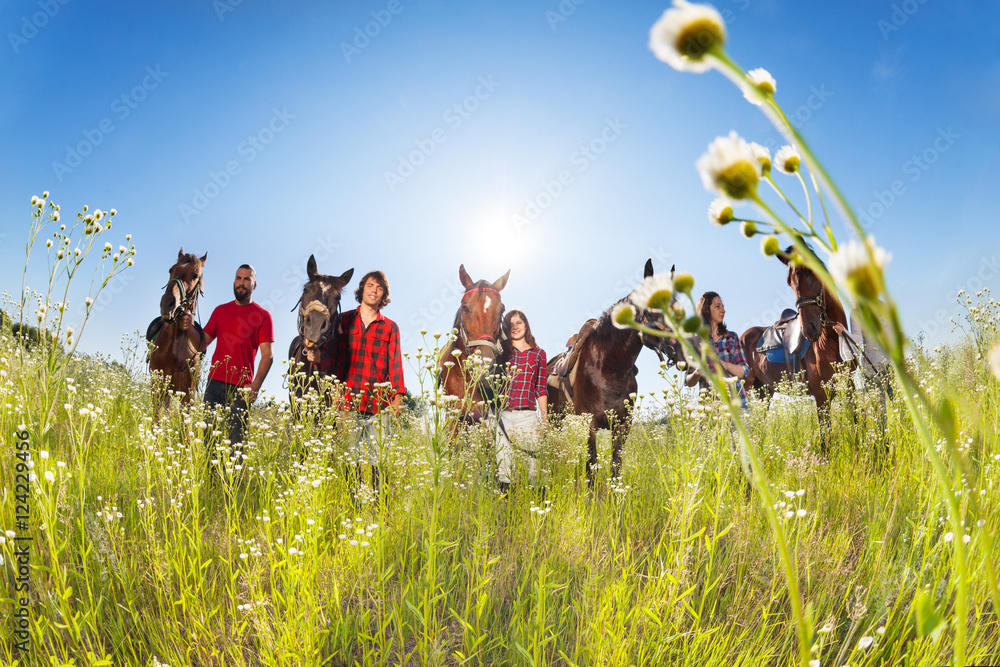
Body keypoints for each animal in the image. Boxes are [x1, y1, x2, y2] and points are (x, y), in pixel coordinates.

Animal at [548, 260, 688, 486]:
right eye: (653, 306)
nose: (684, 351)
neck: (608, 370)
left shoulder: (622, 426)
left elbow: (615, 468)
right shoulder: (590, 425)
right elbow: (592, 469)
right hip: (555, 420)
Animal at [744, 247, 852, 448]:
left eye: (813, 272)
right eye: (789, 281)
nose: (809, 328)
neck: (831, 340)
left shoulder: (850, 387)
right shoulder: (821, 396)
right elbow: (825, 439)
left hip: (765, 392)